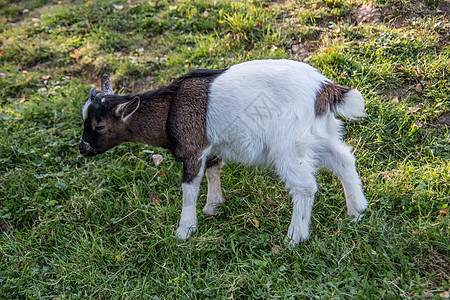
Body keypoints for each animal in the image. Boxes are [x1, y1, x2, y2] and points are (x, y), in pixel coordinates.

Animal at [80, 58, 370, 244]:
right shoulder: (213, 146)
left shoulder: (193, 148)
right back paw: (356, 211)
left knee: (305, 187)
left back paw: (295, 237)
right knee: (344, 159)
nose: (83, 148)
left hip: (289, 144)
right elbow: (214, 170)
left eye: (100, 126)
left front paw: (184, 230)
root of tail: (324, 88)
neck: (171, 108)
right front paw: (213, 205)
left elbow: (189, 190)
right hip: (320, 134)